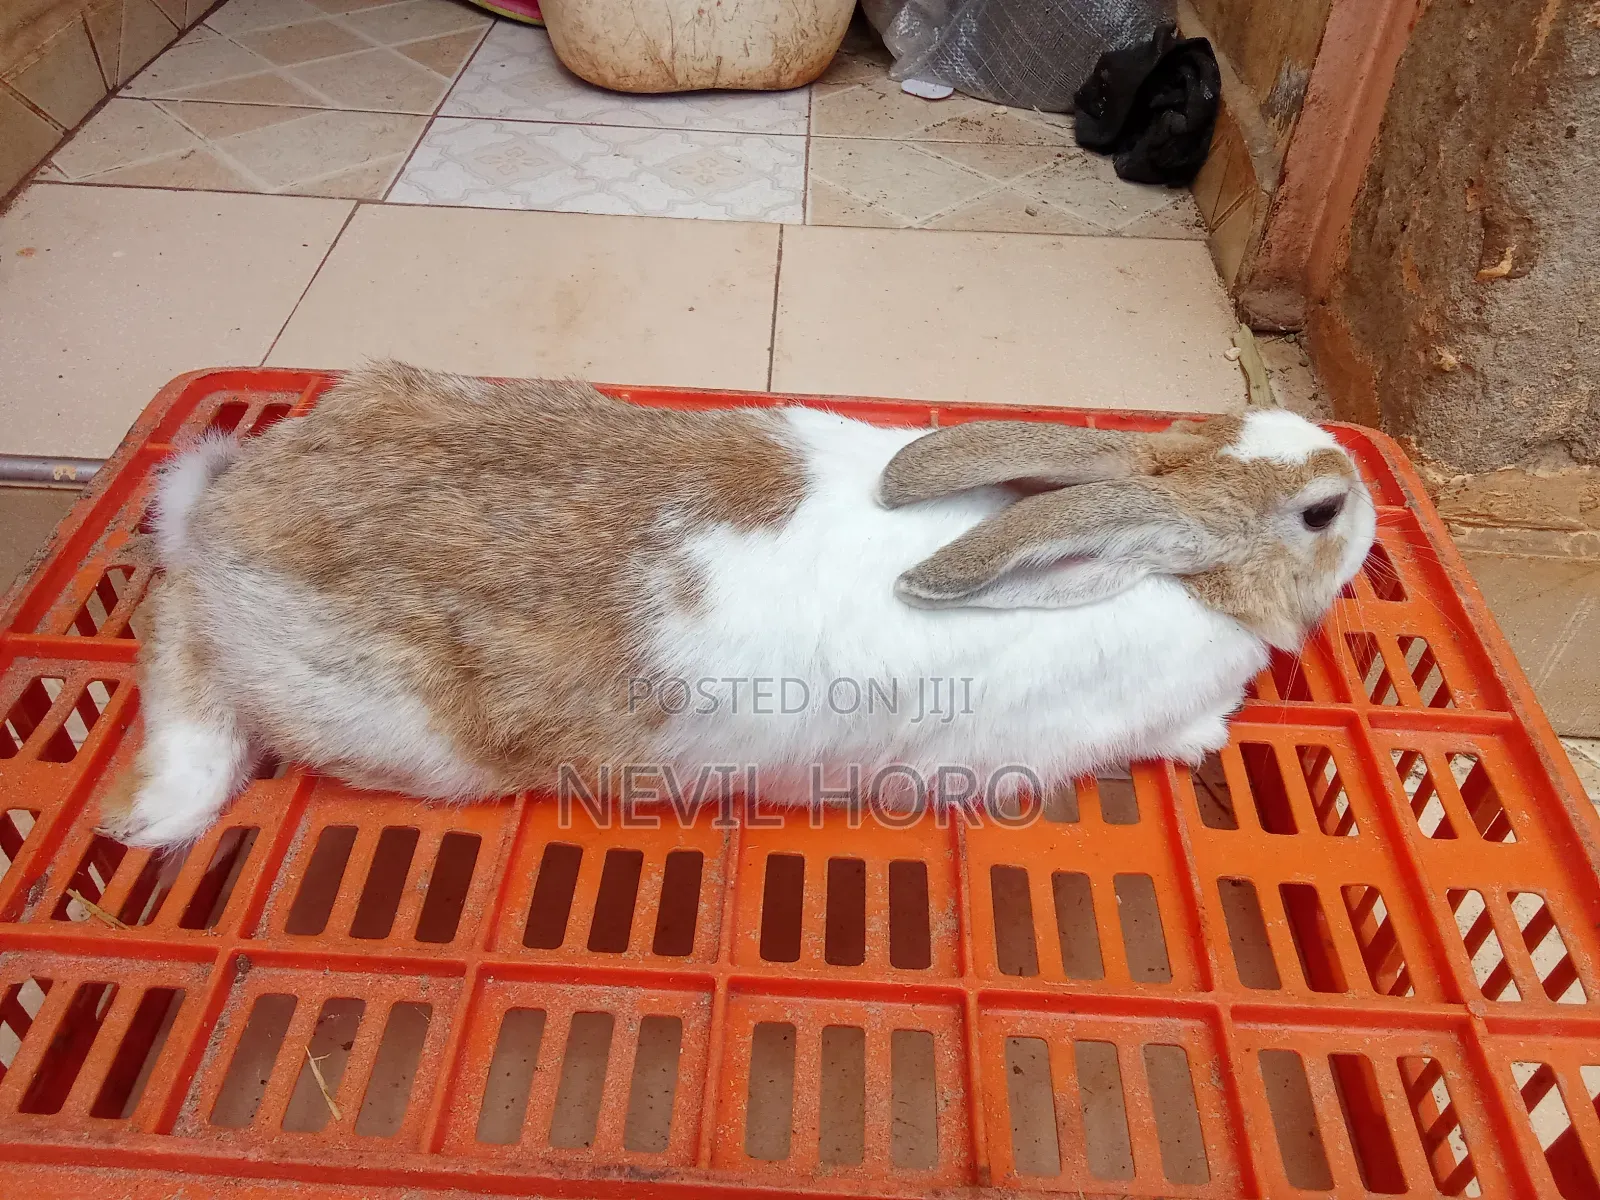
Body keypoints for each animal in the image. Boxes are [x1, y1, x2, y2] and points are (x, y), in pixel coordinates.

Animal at [101, 360, 1376, 849]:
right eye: (1319, 513)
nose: (1363, 496)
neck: (1177, 566)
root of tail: (231, 512)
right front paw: (1205, 734)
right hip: (363, 718)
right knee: (177, 641)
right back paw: (163, 807)